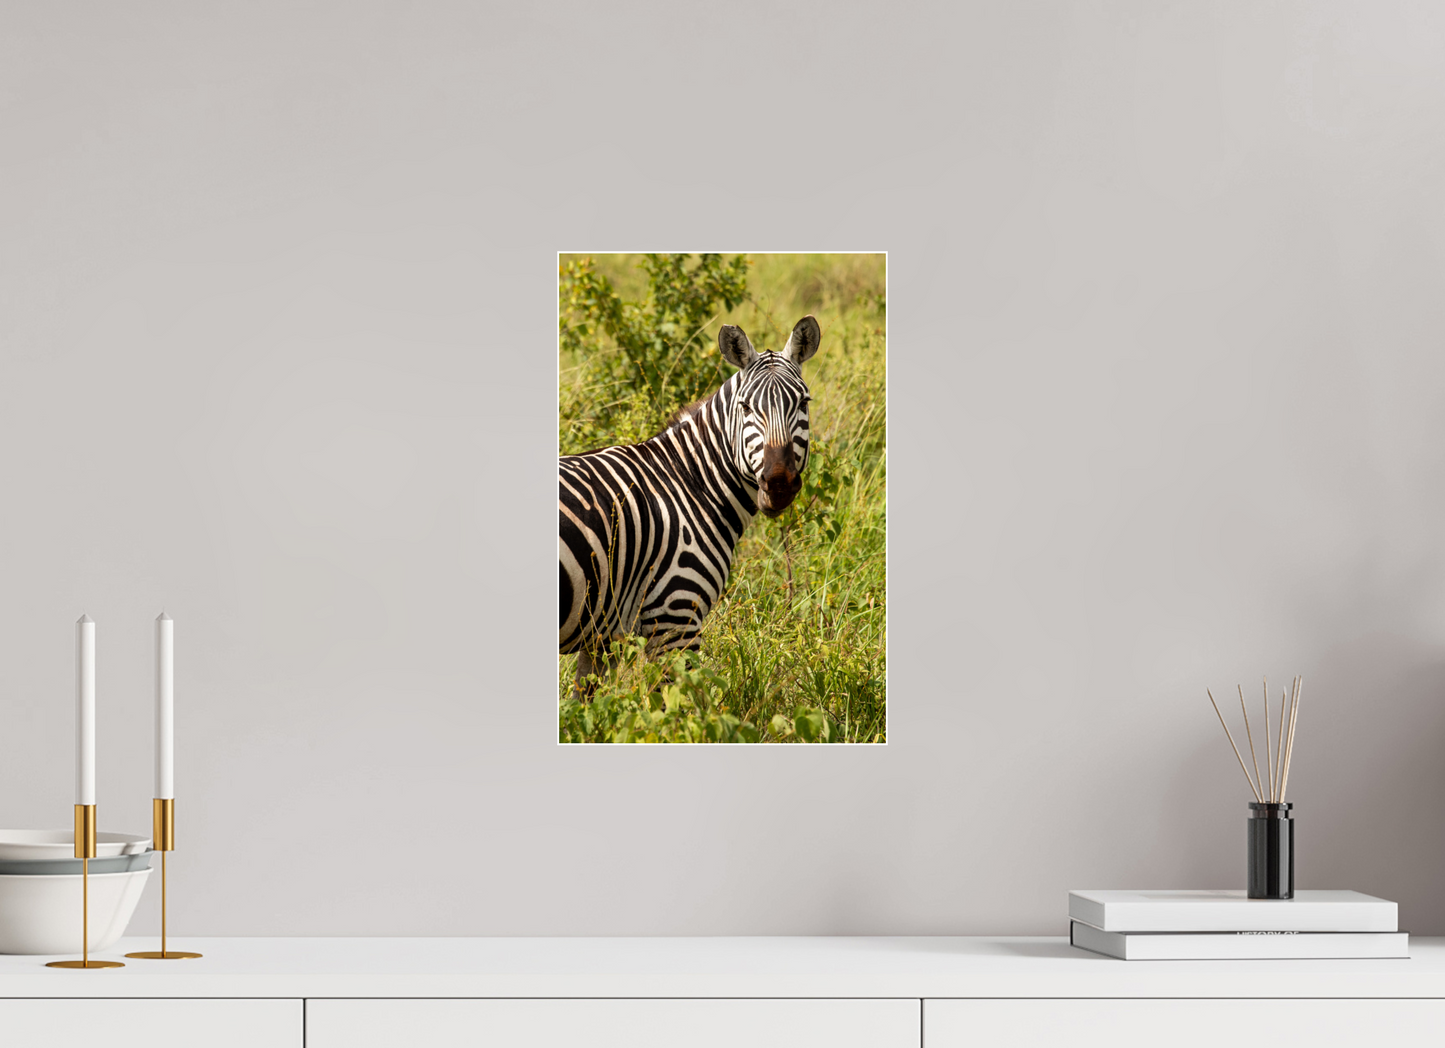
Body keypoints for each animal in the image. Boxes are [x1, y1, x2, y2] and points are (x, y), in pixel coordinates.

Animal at [559, 314, 822, 698]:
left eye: (803, 403)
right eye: (745, 407)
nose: (779, 484)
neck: (689, 481)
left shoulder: (601, 636)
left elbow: (588, 706)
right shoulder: (675, 619)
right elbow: (678, 707)